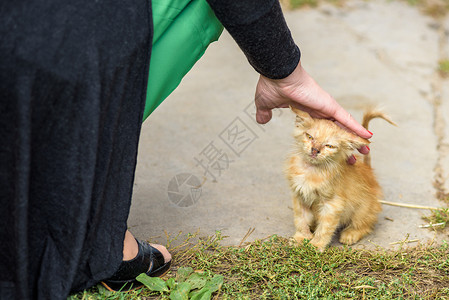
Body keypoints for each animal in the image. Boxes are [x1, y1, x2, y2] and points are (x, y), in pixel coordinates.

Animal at [286, 108, 394, 251]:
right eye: (309, 137)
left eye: (329, 146)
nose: (315, 150)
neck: (312, 170)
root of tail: (369, 172)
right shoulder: (300, 196)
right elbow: (301, 220)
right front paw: (301, 237)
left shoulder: (332, 204)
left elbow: (325, 227)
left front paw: (316, 244)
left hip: (363, 209)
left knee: (366, 224)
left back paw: (351, 233)